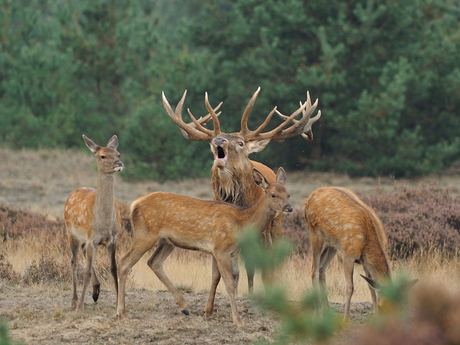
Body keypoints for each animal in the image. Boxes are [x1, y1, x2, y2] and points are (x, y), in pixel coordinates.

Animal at [63, 134, 124, 312]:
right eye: (102, 156)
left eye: (118, 153)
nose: (119, 163)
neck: (104, 221)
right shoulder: (92, 238)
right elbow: (86, 271)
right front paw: (80, 307)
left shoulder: (112, 238)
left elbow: (113, 268)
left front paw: (118, 302)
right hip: (71, 232)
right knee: (74, 261)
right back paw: (74, 300)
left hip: (86, 239)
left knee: (84, 254)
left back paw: (96, 291)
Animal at [117, 167, 292, 326]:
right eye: (273, 194)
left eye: (288, 194)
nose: (289, 208)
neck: (241, 222)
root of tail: (133, 205)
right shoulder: (222, 248)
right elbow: (229, 284)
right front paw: (238, 321)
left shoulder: (216, 250)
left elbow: (215, 278)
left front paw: (208, 312)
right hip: (145, 235)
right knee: (124, 263)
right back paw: (122, 313)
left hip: (167, 241)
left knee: (154, 262)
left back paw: (184, 306)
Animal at [162, 88, 320, 290]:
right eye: (213, 141)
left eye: (240, 143)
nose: (218, 140)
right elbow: (228, 272)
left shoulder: (261, 231)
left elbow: (264, 268)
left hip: (276, 225)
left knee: (270, 262)